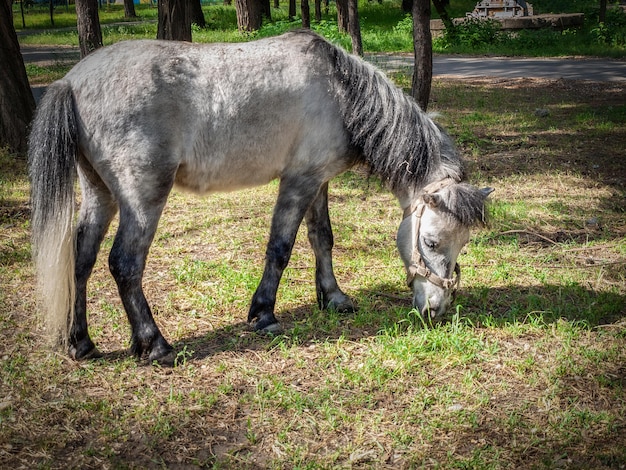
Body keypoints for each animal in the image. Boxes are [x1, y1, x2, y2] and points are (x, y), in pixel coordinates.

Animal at [28, 30, 488, 364]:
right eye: (431, 242)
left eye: (462, 244)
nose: (437, 310)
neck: (340, 91)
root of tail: (71, 82)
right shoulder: (297, 182)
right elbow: (280, 248)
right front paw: (264, 313)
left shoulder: (317, 181)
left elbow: (322, 238)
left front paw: (333, 298)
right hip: (143, 199)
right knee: (124, 263)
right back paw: (155, 344)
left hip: (99, 194)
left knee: (81, 260)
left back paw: (81, 344)